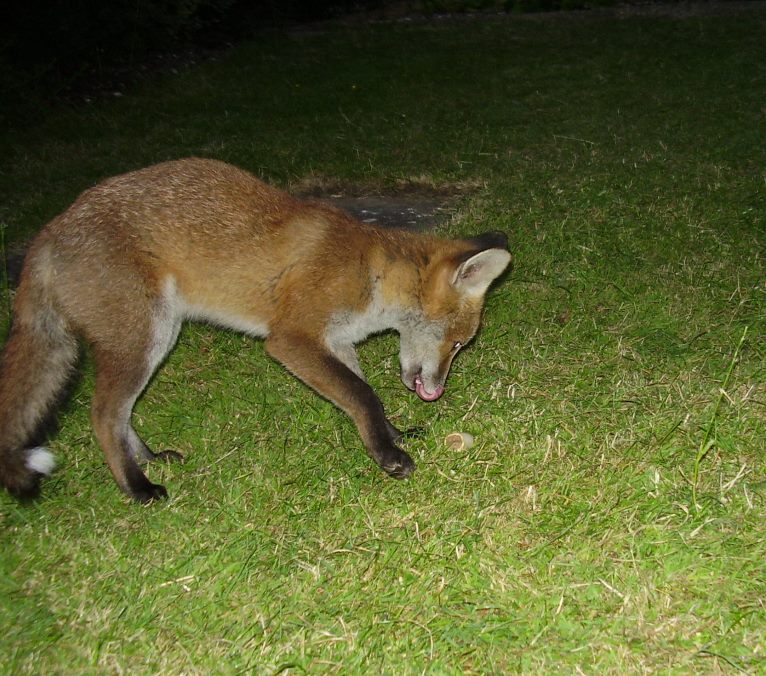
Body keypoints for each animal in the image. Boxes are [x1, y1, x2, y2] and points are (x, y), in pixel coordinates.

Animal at [0, 158, 510, 503]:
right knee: (103, 415)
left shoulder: (336, 342)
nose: (438, 391)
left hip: (158, 336)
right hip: (143, 339)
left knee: (121, 416)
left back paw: (149, 461)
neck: (372, 271)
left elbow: (365, 398)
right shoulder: (293, 339)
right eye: (459, 342)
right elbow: (363, 395)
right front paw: (389, 457)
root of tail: (51, 231)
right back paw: (138, 488)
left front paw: (394, 435)